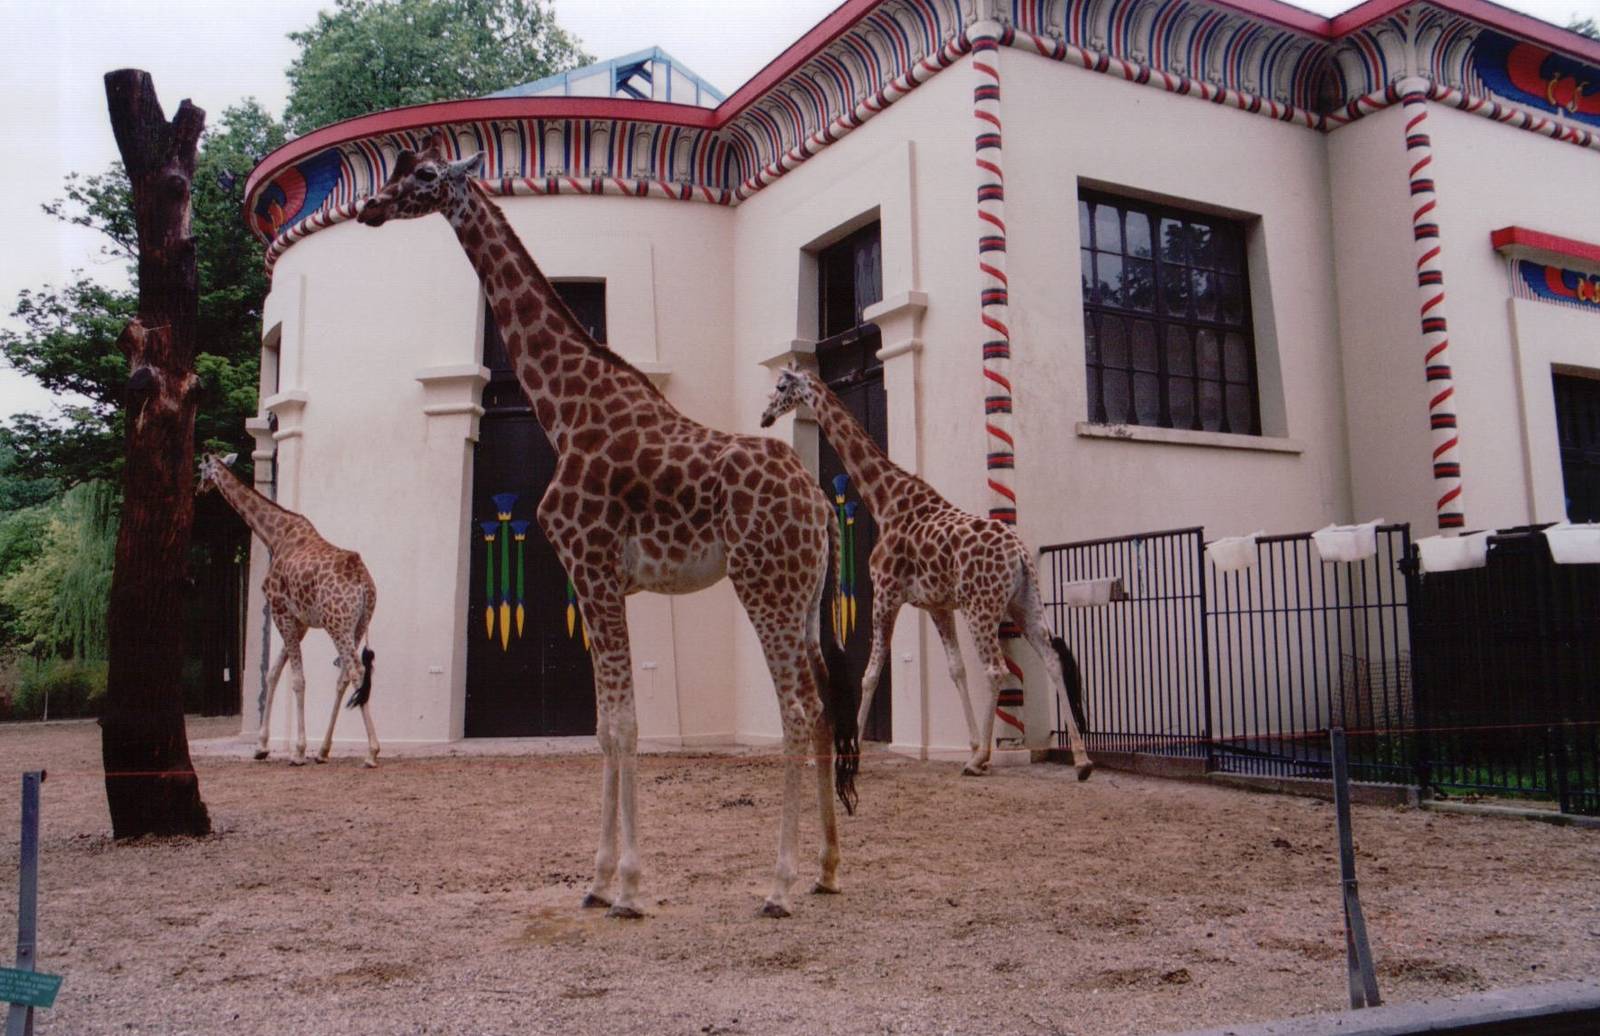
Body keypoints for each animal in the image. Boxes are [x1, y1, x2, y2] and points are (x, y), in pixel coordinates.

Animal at [198, 453, 380, 768]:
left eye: (200, 470)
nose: (198, 490)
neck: (274, 535)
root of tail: (363, 584)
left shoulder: (279, 610)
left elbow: (296, 679)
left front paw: (297, 751)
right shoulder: (300, 621)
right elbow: (273, 674)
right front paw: (261, 746)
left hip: (338, 625)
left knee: (356, 671)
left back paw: (371, 752)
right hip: (357, 624)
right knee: (344, 675)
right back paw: (324, 751)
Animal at [355, 136, 859, 919]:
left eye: (427, 175)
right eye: (397, 170)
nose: (370, 208)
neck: (564, 410)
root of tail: (814, 502)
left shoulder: (591, 568)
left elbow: (623, 724)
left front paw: (628, 885)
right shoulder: (597, 581)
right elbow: (600, 726)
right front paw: (595, 881)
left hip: (764, 588)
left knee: (799, 710)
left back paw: (777, 884)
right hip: (804, 598)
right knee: (826, 705)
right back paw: (828, 870)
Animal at [761, 365, 1094, 780]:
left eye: (780, 386)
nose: (765, 416)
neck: (886, 501)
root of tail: (1019, 556)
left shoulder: (886, 592)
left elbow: (871, 672)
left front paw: (854, 752)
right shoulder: (937, 605)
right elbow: (956, 670)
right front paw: (971, 743)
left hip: (982, 608)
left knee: (997, 669)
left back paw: (980, 761)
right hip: (1024, 603)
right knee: (1051, 660)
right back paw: (1081, 760)